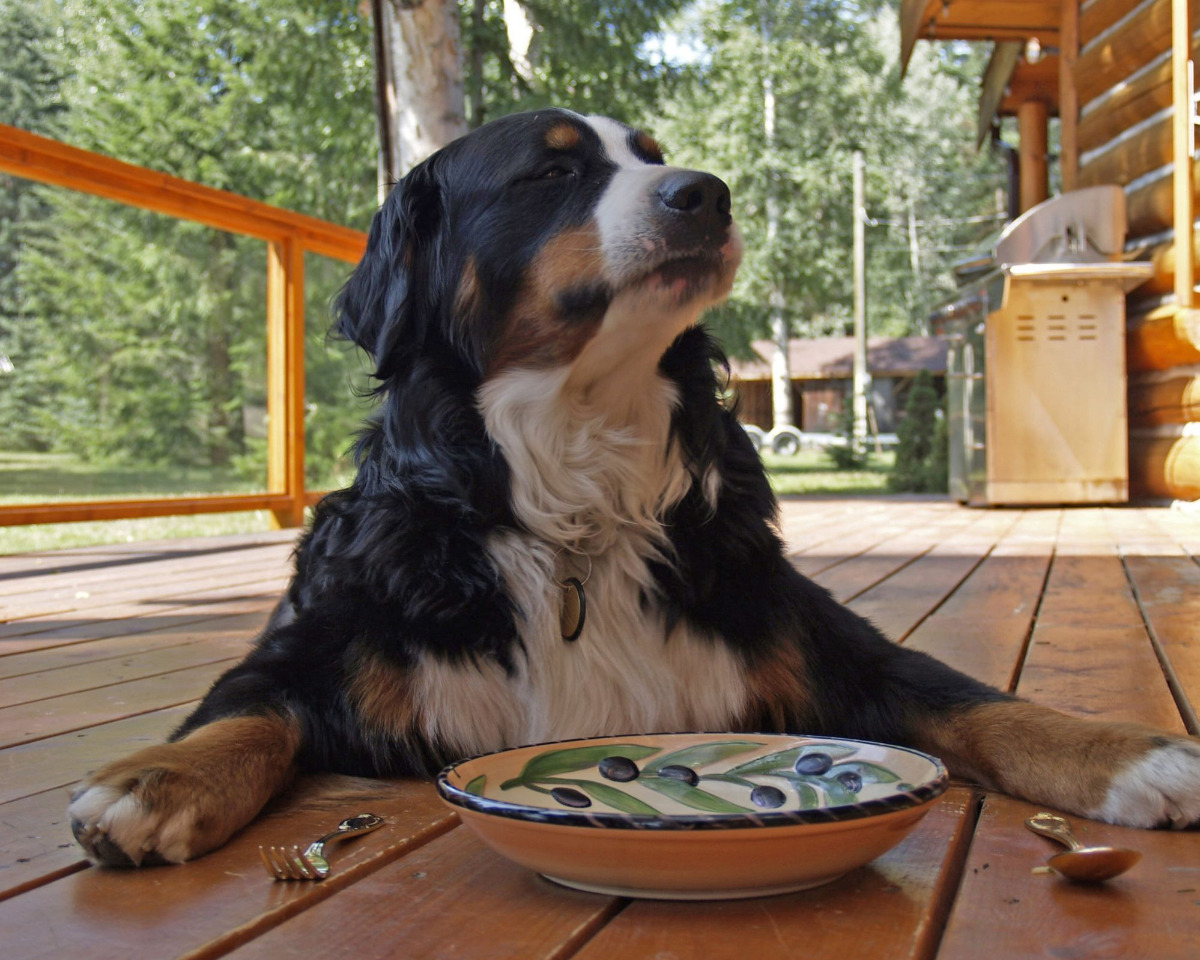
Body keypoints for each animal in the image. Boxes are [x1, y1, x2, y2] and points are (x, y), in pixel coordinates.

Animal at [70, 108, 1195, 864]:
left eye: (653, 156)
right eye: (552, 171)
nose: (708, 192)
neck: (576, 483)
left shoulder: (814, 635)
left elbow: (975, 701)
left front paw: (1131, 755)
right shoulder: (323, 639)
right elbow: (247, 712)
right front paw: (154, 779)